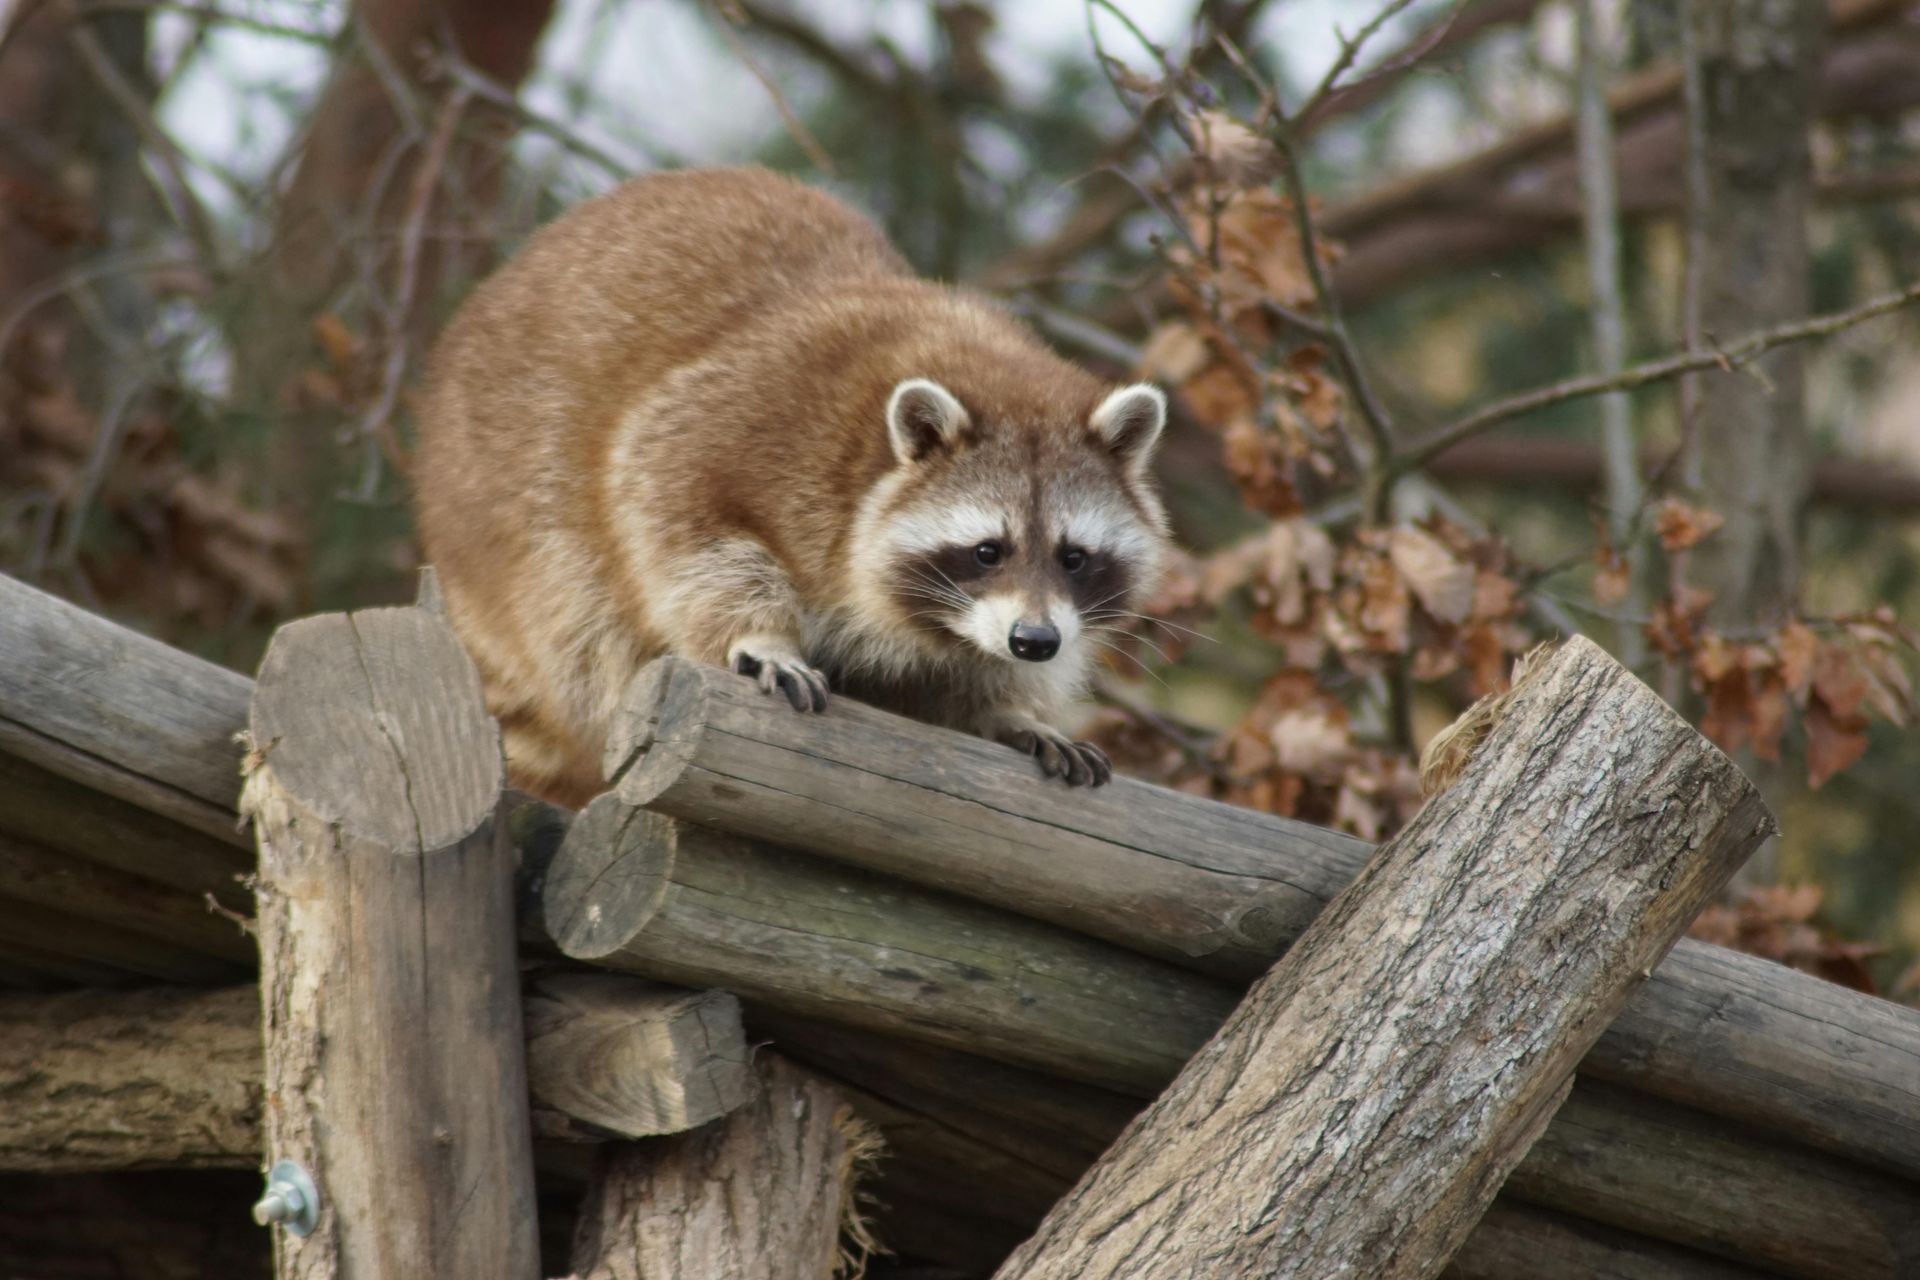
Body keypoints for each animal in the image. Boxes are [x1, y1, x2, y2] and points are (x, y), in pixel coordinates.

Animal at [415, 167, 1170, 808]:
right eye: (989, 550)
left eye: (1074, 557)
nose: (1034, 642)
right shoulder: (753, 420)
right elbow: (673, 512)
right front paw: (759, 634)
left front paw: (1008, 707)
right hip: (502, 509)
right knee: (581, 616)